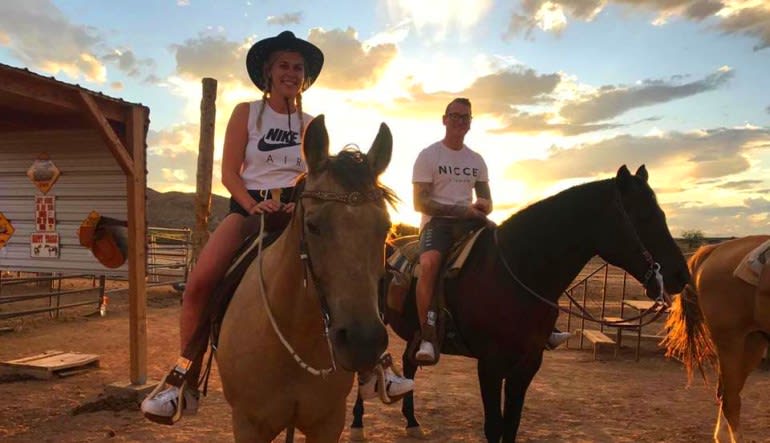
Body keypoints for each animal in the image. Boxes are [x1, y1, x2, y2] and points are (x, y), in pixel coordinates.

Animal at [352, 165, 688, 443]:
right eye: (644, 216)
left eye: (662, 214)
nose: (679, 275)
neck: (516, 272)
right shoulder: (490, 365)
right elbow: (494, 427)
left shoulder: (527, 364)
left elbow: (511, 426)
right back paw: (357, 421)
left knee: (409, 362)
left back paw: (411, 420)